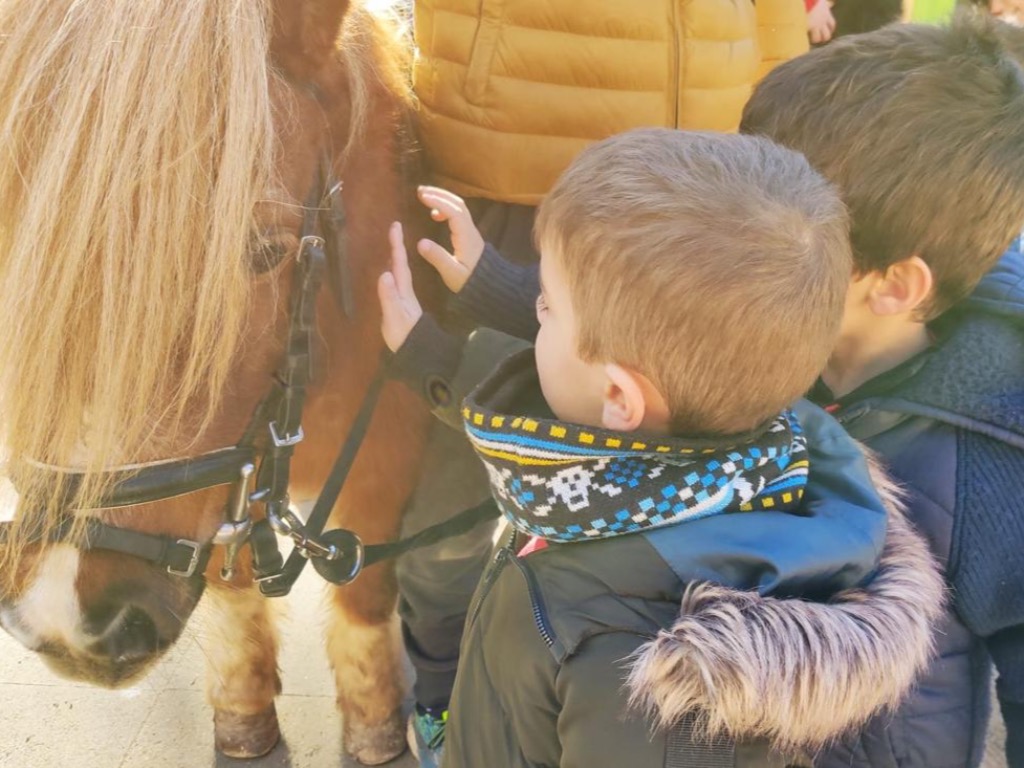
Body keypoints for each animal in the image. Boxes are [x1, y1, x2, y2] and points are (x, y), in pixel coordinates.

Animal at [0, 0, 436, 765]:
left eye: (263, 250)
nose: (62, 617)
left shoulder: (386, 457)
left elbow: (364, 594)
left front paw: (377, 728)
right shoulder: (226, 479)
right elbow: (226, 586)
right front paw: (243, 716)